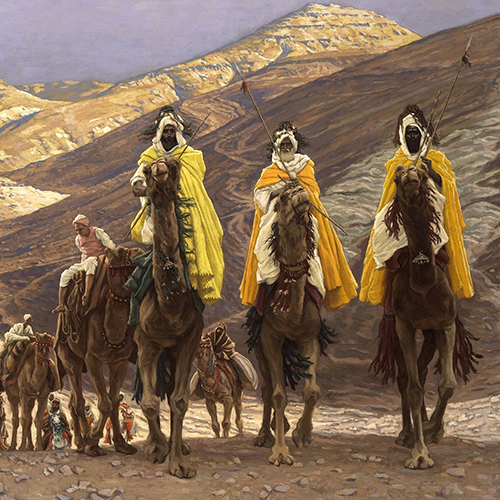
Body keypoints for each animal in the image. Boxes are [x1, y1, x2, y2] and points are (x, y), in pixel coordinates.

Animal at [55, 245, 142, 456]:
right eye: (119, 253)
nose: (138, 249)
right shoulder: (92, 359)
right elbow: (104, 403)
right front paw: (92, 438)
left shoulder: (119, 361)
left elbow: (113, 402)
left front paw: (121, 445)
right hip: (70, 359)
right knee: (78, 402)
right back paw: (85, 444)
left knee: (73, 402)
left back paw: (82, 443)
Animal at [251, 181, 326, 466]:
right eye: (281, 198)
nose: (298, 192)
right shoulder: (269, 337)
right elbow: (278, 395)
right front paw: (280, 452)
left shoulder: (310, 336)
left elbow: (312, 390)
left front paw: (302, 434)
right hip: (259, 346)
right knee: (268, 388)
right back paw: (264, 434)